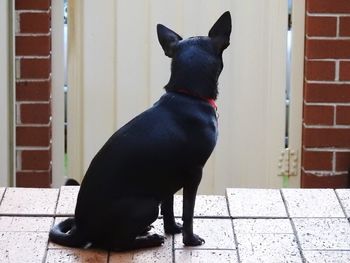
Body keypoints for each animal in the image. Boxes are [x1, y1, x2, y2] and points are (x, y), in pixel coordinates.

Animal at [48, 11, 230, 253]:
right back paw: (147, 240)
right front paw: (190, 239)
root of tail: (80, 229)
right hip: (147, 205)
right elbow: (188, 211)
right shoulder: (194, 174)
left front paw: (172, 229)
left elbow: (170, 206)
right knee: (115, 244)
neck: (188, 95)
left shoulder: (168, 177)